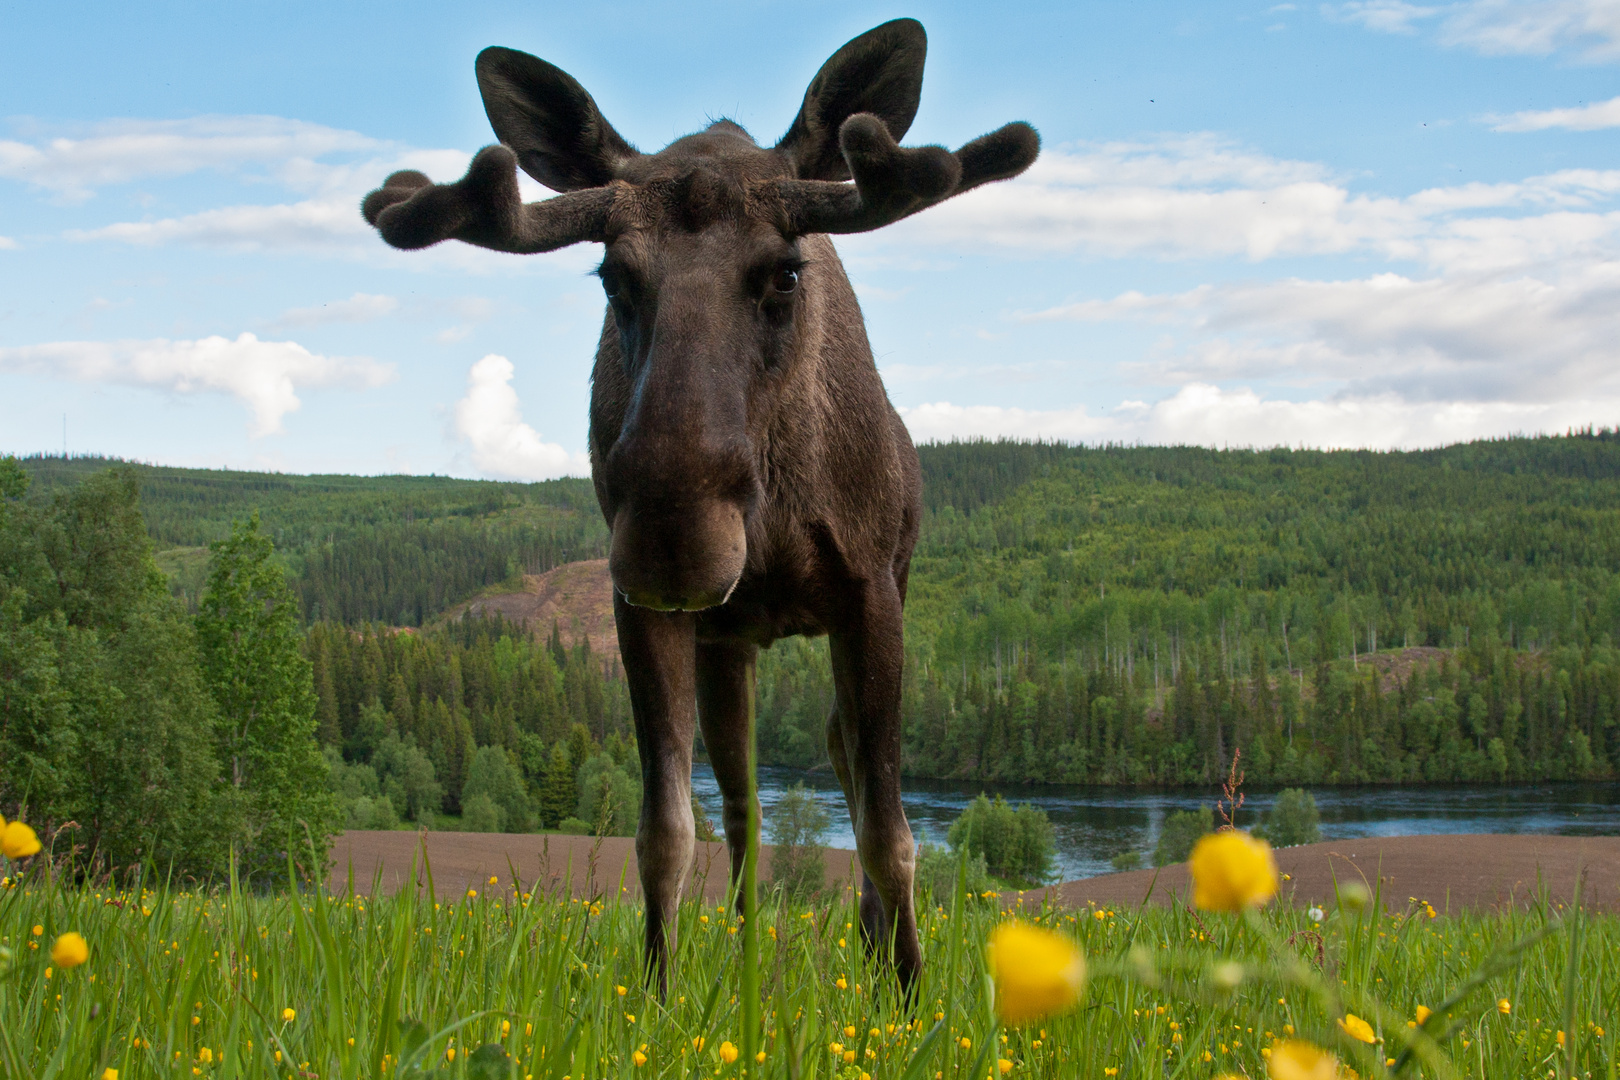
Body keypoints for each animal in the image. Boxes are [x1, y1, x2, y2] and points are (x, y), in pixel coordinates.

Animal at [361, 19, 1030, 997]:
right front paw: (658, 994)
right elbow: (667, 832)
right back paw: (754, 963)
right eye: (612, 276)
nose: (674, 540)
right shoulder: (647, 614)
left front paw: (911, 993)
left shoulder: (872, 592)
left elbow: (889, 832)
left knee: (846, 761)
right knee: (748, 813)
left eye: (784, 272)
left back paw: (874, 949)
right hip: (729, 648)